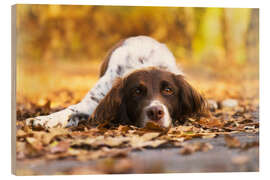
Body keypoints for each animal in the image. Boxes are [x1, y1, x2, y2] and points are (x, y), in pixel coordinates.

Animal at [26, 35, 206, 128]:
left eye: (168, 90)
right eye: (137, 91)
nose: (155, 112)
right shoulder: (94, 101)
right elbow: (69, 110)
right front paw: (42, 120)